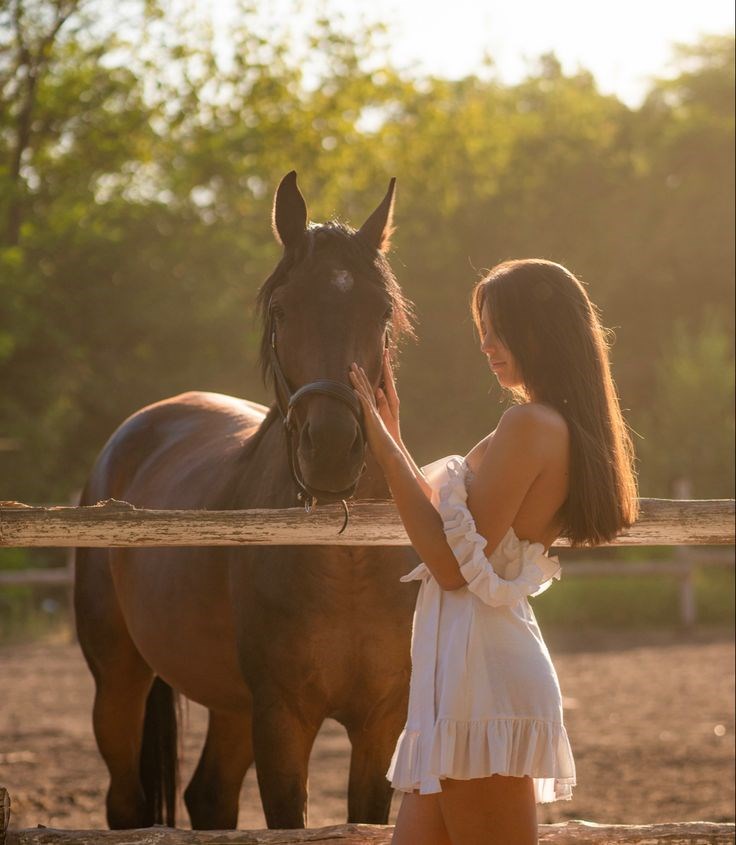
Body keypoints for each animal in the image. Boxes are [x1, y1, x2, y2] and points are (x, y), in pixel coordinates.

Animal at [75, 173, 420, 832]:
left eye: (382, 311)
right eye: (283, 309)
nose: (332, 449)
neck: (348, 564)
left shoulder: (382, 722)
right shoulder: (281, 719)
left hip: (230, 702)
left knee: (209, 796)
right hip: (119, 681)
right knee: (126, 801)